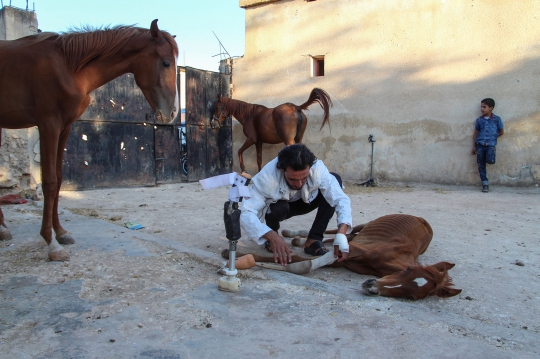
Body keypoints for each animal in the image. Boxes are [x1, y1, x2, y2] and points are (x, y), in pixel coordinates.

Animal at [0, 19, 181, 262]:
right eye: (165, 63)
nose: (172, 113)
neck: (69, 67)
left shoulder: (65, 126)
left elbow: (59, 179)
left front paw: (61, 233)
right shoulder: (49, 124)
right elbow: (49, 181)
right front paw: (51, 243)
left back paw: (3, 229)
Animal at [224, 214, 460, 300]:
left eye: (412, 296)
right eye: (408, 270)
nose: (371, 286)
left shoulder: (344, 259)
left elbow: (301, 262)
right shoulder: (354, 250)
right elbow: (305, 265)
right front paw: (233, 257)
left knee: (340, 235)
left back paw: (300, 241)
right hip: (363, 226)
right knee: (339, 231)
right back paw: (293, 234)